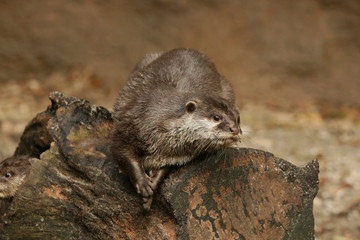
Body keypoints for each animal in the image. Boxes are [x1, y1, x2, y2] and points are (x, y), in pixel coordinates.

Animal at [112, 47, 242, 209]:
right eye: (216, 117)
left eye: (238, 119)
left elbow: (164, 169)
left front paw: (152, 186)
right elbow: (124, 154)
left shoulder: (174, 157)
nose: (235, 129)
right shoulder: (127, 125)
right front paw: (143, 183)